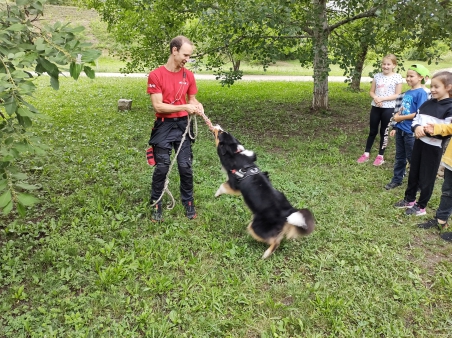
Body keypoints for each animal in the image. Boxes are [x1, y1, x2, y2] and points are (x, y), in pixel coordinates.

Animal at [213, 125, 314, 258]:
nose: (217, 125)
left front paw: (216, 194)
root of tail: (287, 212)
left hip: (255, 227)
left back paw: (266, 254)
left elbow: (222, 186)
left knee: (275, 241)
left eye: (220, 133)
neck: (235, 154)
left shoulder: (234, 186)